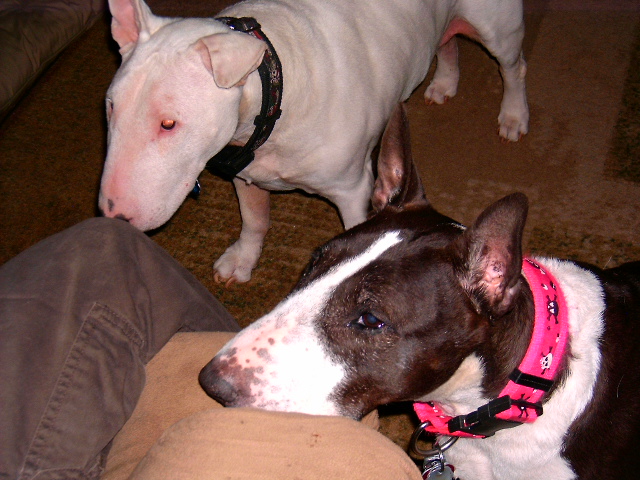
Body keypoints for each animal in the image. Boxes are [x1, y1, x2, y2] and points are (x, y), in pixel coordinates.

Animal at [98, 0, 529, 284]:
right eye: (110, 106)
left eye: (168, 123)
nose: (112, 214)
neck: (277, 88)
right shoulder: (247, 172)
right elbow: (254, 220)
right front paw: (242, 260)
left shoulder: (353, 190)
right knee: (446, 42)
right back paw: (444, 82)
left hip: (497, 27)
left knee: (513, 65)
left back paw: (513, 114)